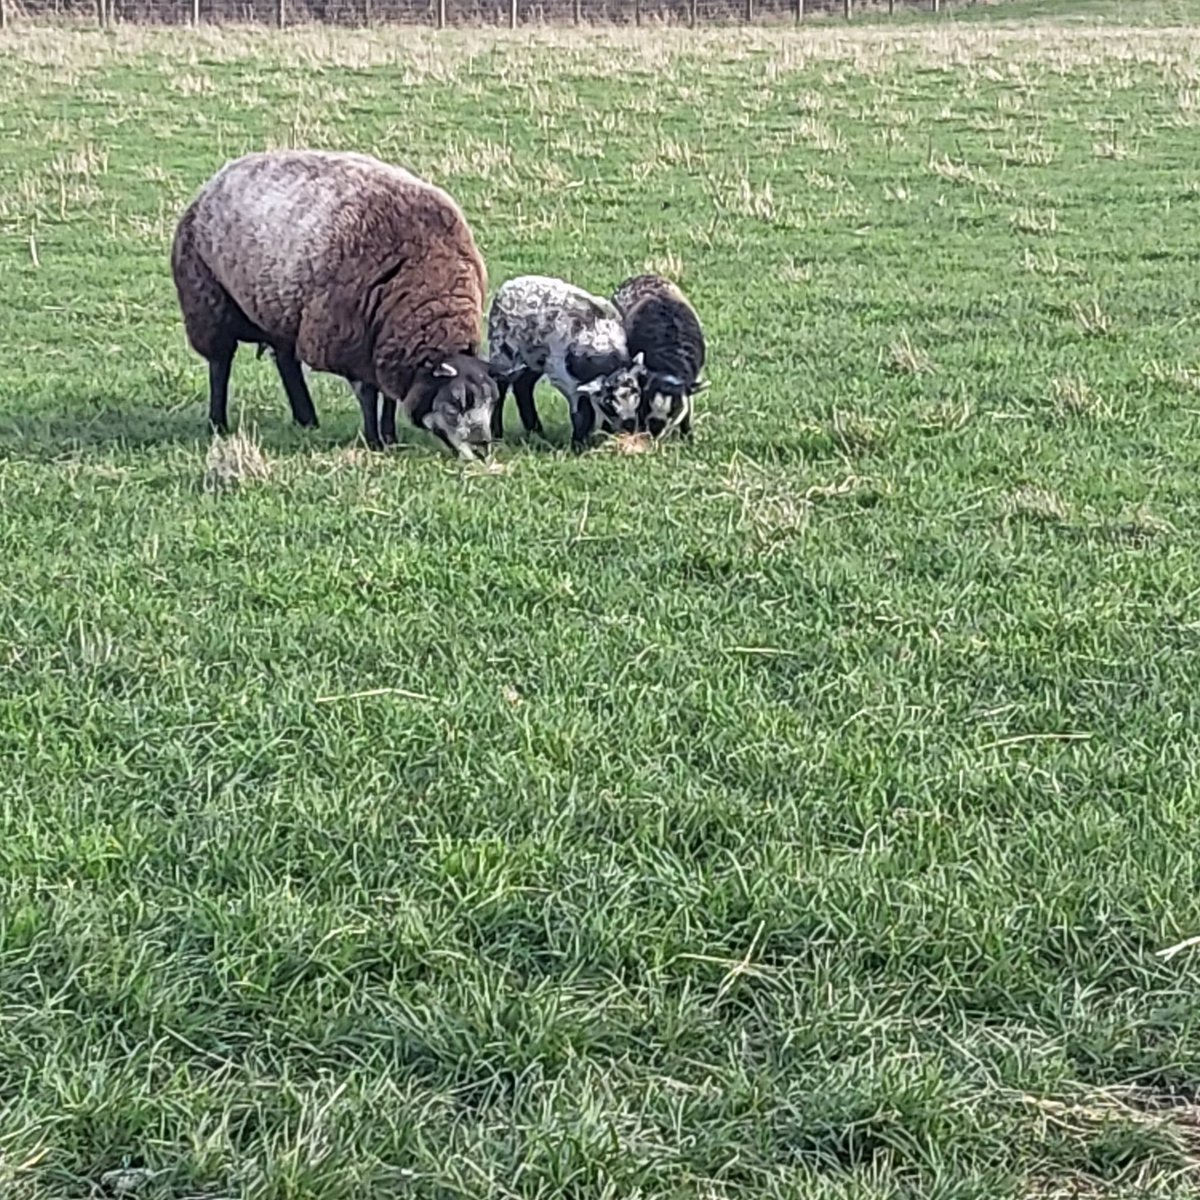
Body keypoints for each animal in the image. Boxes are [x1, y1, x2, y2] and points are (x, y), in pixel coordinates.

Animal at [170, 148, 498, 459]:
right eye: (455, 403)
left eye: (492, 402)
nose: (483, 447)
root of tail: (216, 181)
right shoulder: (349, 342)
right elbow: (369, 394)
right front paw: (374, 440)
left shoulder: (385, 346)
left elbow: (388, 397)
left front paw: (390, 437)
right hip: (206, 300)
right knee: (220, 364)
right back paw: (218, 423)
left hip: (281, 312)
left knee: (285, 361)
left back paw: (306, 419)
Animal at [486, 274, 647, 450]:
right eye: (608, 404)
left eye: (637, 394)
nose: (629, 425)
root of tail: (507, 286)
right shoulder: (566, 380)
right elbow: (582, 413)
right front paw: (578, 444)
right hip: (503, 349)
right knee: (500, 384)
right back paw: (497, 436)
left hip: (535, 356)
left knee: (523, 385)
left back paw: (537, 432)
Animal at [612, 273, 709, 440]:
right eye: (645, 406)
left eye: (674, 412)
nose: (655, 428)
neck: (671, 363)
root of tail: (642, 276)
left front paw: (688, 436)